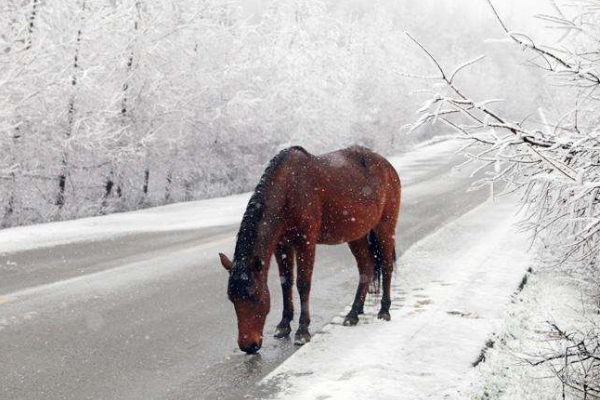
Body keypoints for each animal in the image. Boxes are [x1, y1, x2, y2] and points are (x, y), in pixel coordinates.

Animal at [218, 145, 400, 354]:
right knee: (366, 268)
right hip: (357, 235)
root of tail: (388, 167)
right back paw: (354, 313)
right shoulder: (282, 246)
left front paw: (302, 331)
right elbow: (286, 282)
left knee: (386, 267)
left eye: (255, 297)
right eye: (232, 298)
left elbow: (302, 284)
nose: (248, 346)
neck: (288, 189)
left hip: (385, 228)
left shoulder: (305, 244)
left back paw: (384, 311)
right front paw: (284, 325)